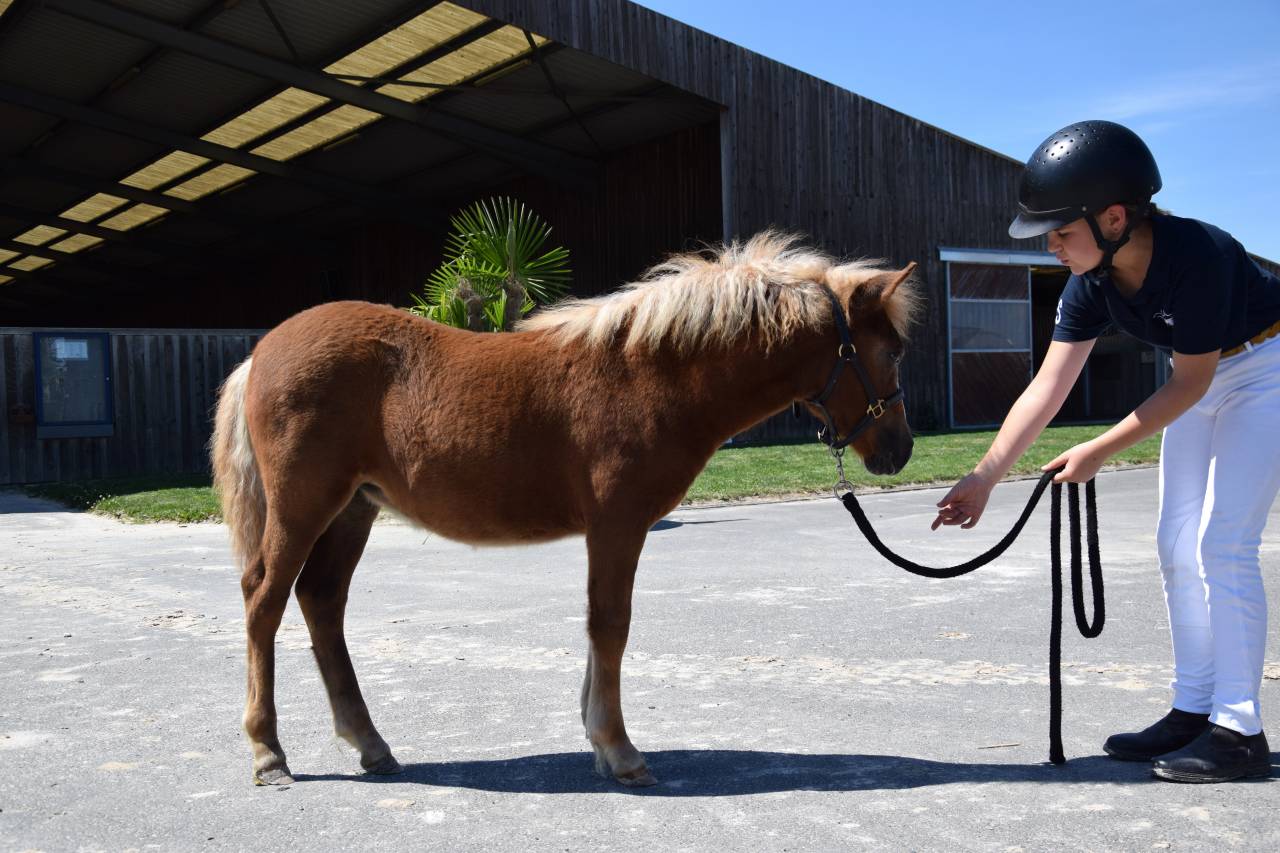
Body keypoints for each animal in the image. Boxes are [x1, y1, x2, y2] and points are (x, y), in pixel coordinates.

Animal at [210, 232, 920, 787]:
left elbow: (598, 626)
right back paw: (269, 753)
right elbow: (610, 625)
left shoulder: (608, 529)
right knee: (265, 601)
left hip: (353, 510)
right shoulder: (618, 523)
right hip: (304, 506)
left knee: (321, 602)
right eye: (891, 351)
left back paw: (370, 744)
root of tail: (262, 352)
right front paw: (619, 750)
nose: (900, 449)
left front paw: (598, 738)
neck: (649, 374)